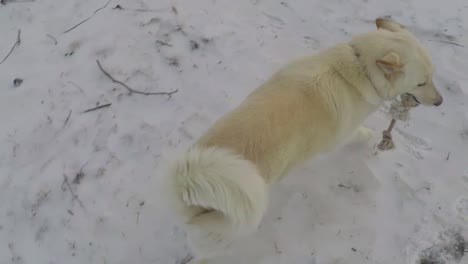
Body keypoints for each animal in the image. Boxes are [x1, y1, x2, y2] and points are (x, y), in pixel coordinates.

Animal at [164, 17, 442, 262]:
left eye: (432, 76)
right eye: (422, 82)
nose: (440, 102)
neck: (359, 68)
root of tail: (187, 190)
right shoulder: (345, 131)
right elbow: (358, 133)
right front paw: (369, 135)